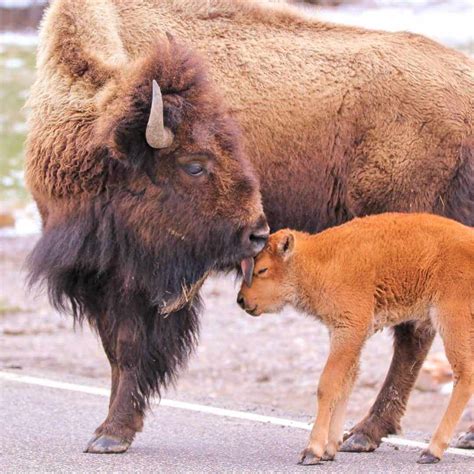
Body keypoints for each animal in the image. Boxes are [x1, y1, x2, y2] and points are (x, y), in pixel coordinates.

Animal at [239, 213, 472, 464]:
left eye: (262, 269)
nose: (241, 300)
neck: (317, 261)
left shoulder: (349, 331)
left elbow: (328, 384)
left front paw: (312, 451)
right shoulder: (344, 335)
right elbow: (345, 384)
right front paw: (330, 449)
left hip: (451, 322)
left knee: (464, 376)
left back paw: (431, 451)